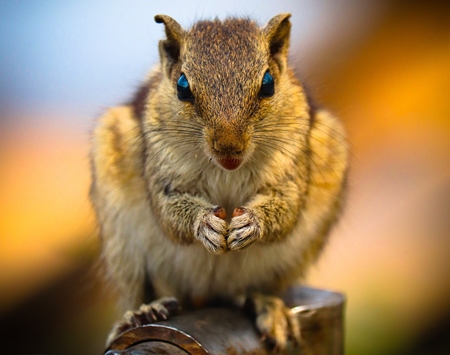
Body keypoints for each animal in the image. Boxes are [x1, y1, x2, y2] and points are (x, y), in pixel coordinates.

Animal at [89, 12, 350, 352]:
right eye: (183, 87)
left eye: (268, 84)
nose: (228, 148)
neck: (226, 170)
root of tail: (207, 295)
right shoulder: (163, 171)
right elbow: (170, 210)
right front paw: (204, 224)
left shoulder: (291, 169)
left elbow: (286, 206)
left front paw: (252, 223)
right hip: (123, 250)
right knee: (144, 289)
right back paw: (145, 310)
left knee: (247, 293)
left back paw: (266, 305)